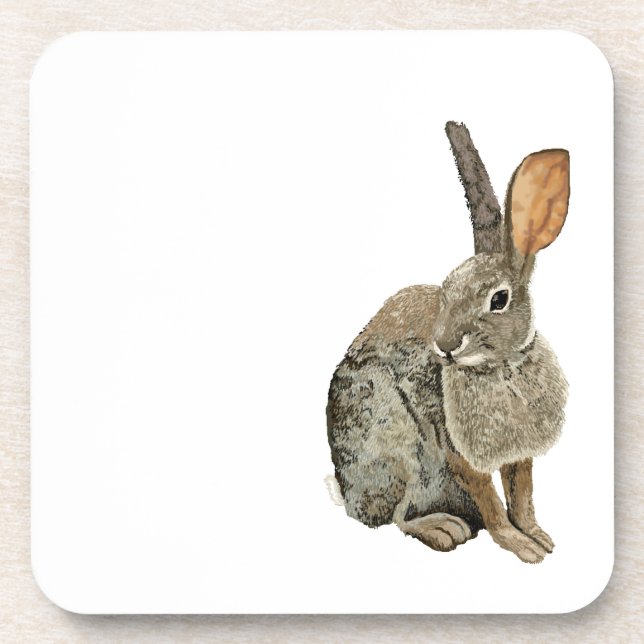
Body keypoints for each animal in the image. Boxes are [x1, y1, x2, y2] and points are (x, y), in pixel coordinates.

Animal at [326, 121, 570, 563]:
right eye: (446, 292)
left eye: (498, 300)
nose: (444, 345)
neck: (502, 367)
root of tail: (349, 499)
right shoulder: (460, 453)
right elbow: (493, 504)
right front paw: (521, 547)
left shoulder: (519, 455)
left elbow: (521, 495)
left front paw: (538, 537)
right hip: (397, 446)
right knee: (399, 517)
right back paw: (442, 529)